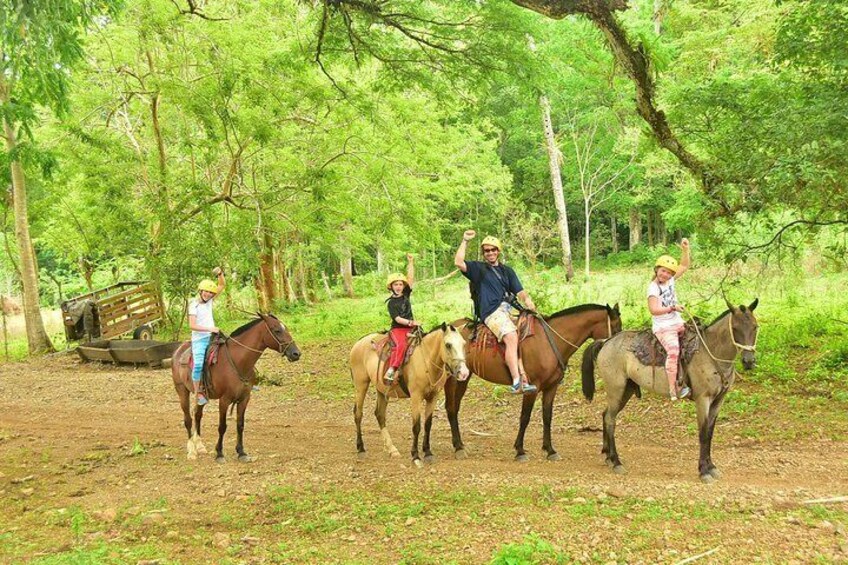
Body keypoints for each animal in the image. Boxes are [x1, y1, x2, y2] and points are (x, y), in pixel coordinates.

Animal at [170, 310, 302, 460]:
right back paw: (192, 451)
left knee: (197, 415)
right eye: (277, 330)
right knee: (188, 419)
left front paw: (241, 452)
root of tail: (178, 350)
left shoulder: (244, 398)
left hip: (201, 395)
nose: (296, 353)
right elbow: (222, 426)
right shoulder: (224, 400)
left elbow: (240, 425)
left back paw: (200, 446)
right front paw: (219, 453)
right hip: (182, 391)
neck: (238, 361)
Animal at [350, 324, 470, 464]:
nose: (464, 373)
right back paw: (361, 449)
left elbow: (428, 424)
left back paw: (392, 450)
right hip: (361, 384)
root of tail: (359, 342)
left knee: (380, 414)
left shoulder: (433, 397)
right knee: (358, 414)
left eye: (464, 344)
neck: (426, 360)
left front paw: (428, 452)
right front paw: (415, 456)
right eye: (448, 345)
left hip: (381, 389)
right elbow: (416, 426)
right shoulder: (416, 397)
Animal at [448, 302, 620, 460]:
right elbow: (525, 417)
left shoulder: (551, 388)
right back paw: (458, 447)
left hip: (463, 378)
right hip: (451, 380)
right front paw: (520, 450)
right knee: (450, 408)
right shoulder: (532, 389)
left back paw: (459, 444)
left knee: (454, 408)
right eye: (616, 327)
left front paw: (550, 450)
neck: (549, 342)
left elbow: (547, 416)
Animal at [580, 298, 760, 482]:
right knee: (610, 419)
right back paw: (616, 461)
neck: (711, 352)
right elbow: (703, 433)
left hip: (626, 390)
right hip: (615, 389)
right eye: (735, 328)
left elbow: (709, 433)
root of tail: (606, 342)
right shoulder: (703, 399)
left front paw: (711, 467)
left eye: (755, 327)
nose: (749, 361)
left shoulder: (718, 400)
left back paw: (608, 456)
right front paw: (704, 471)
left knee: (606, 415)